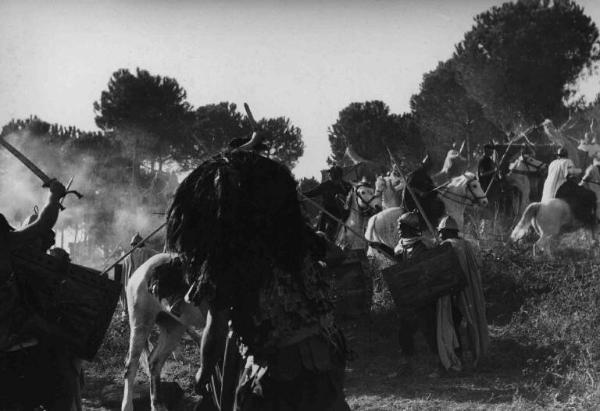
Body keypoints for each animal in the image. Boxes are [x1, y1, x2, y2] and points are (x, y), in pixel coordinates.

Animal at [122, 254, 206, 411]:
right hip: (141, 325)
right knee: (131, 366)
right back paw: (127, 406)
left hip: (173, 329)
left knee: (154, 362)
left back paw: (157, 405)